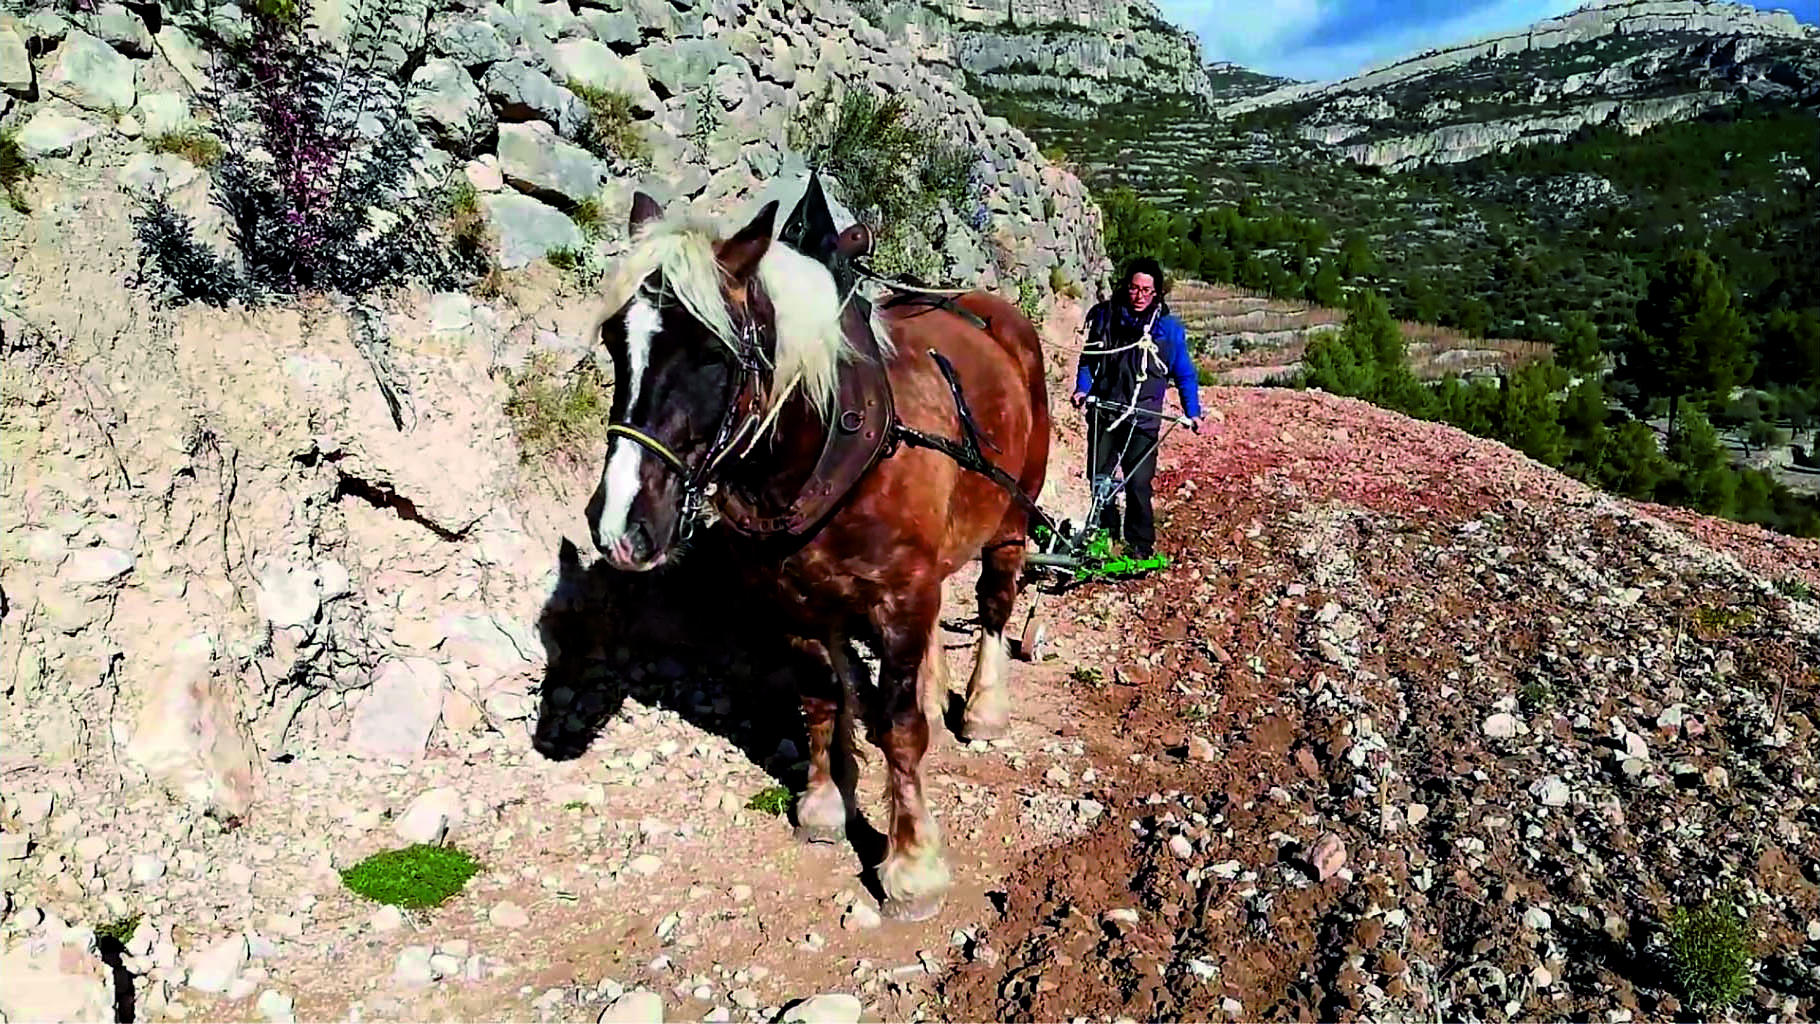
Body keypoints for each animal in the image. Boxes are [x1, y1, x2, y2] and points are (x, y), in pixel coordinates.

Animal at [586, 192, 1055, 920]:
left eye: (713, 356)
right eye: (616, 343)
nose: (619, 528)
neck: (831, 442)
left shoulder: (898, 594)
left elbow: (899, 727)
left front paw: (912, 863)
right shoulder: (792, 598)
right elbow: (820, 697)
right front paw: (826, 800)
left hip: (1011, 519)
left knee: (995, 605)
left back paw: (980, 707)